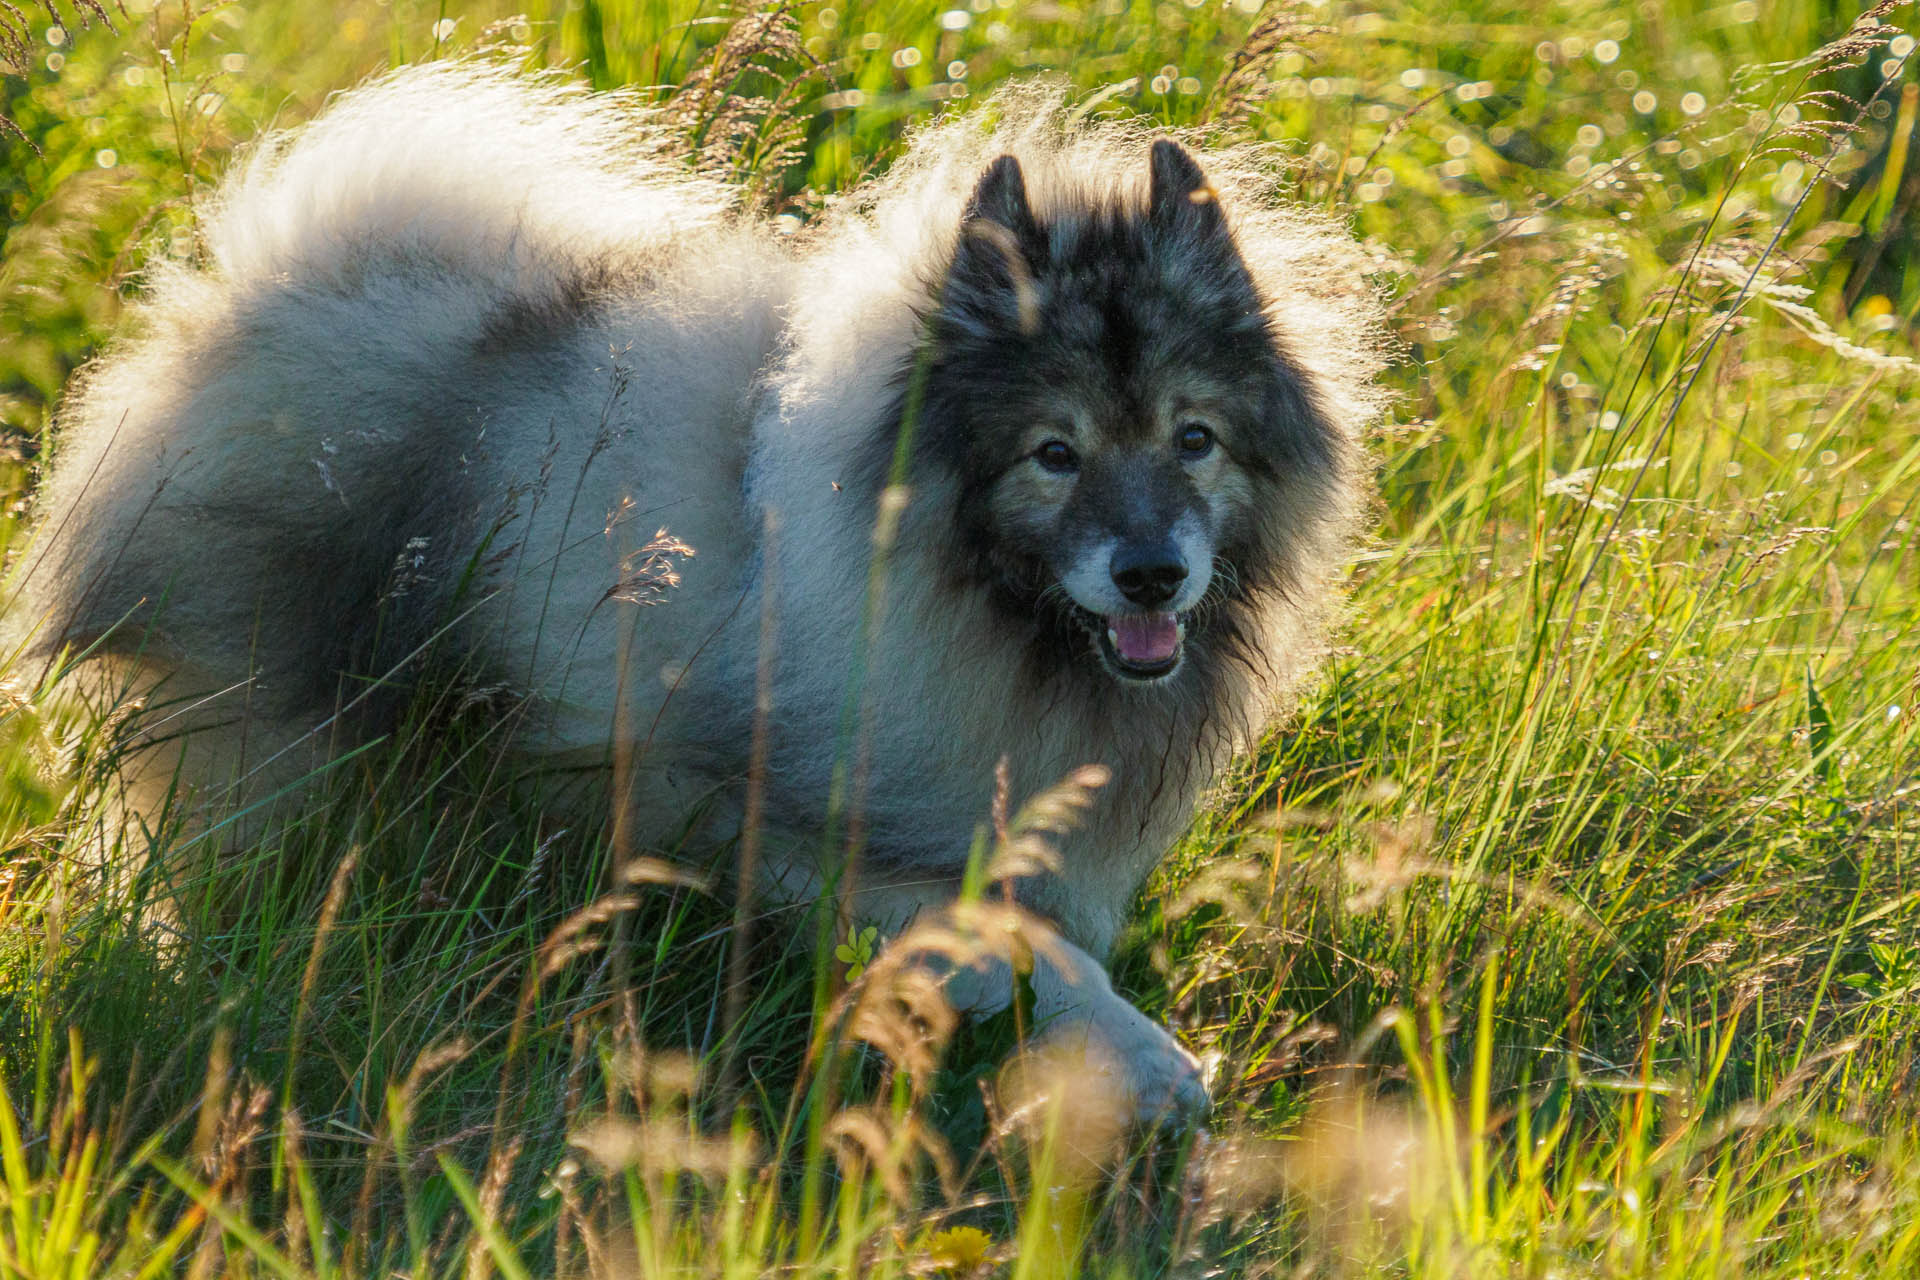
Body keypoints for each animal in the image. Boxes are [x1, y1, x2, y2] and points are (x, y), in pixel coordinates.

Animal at [15, 65, 1397, 1128]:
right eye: (1054, 454)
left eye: (1193, 438)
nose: (1153, 570)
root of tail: (248, 295)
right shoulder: (748, 810)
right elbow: (1005, 937)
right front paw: (1144, 1057)